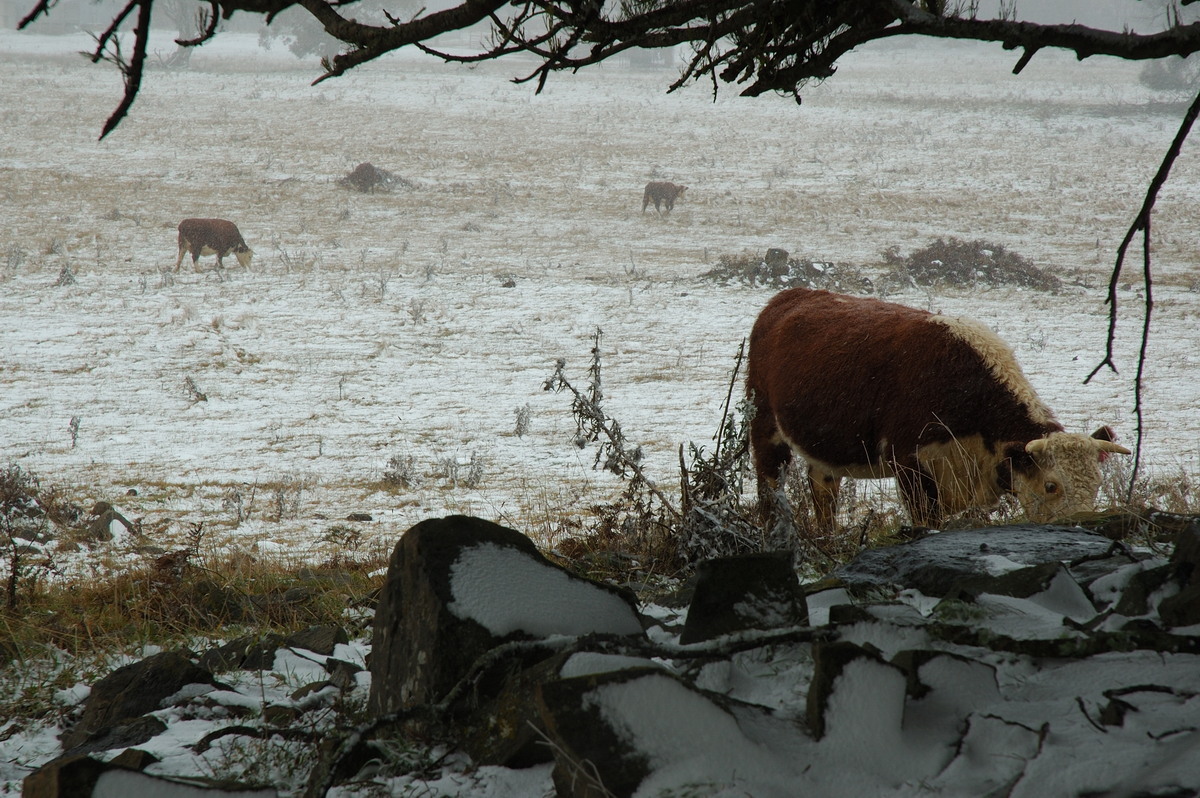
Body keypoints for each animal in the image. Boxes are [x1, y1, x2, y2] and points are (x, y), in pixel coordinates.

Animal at [744, 286, 1128, 528]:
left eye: (1096, 482)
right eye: (1051, 485)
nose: (1083, 523)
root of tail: (791, 297)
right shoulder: (910, 464)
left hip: (824, 452)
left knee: (823, 496)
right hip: (765, 427)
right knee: (770, 491)